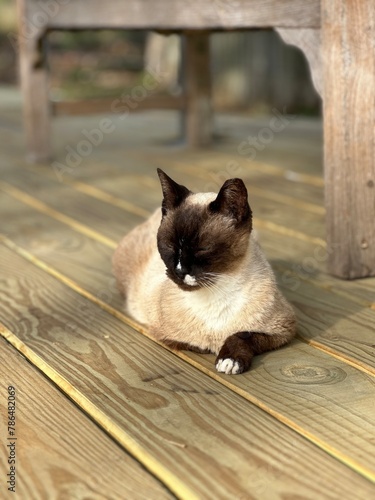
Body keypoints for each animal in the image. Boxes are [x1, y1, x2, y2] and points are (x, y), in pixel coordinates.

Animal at [113, 170, 296, 374]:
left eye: (203, 249)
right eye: (169, 246)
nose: (179, 271)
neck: (217, 290)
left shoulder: (283, 329)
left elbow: (241, 335)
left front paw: (229, 360)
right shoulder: (164, 333)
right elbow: (200, 343)